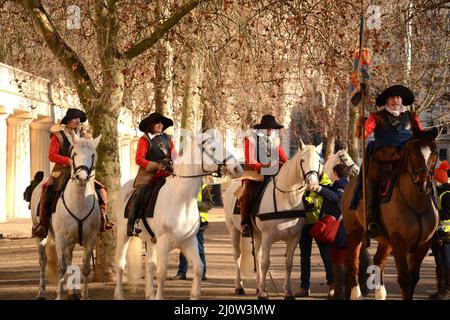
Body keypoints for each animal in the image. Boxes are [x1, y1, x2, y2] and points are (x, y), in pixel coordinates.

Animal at [30, 135, 102, 300]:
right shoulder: (61, 238)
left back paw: (72, 292)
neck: (79, 202)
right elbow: (61, 267)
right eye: (74, 154)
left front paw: (84, 295)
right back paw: (41, 292)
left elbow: (85, 267)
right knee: (43, 261)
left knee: (69, 260)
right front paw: (59, 295)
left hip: (71, 241)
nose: (82, 177)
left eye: (92, 155)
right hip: (41, 236)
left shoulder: (91, 238)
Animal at [114, 132, 244, 300]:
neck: (183, 201)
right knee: (120, 264)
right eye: (213, 148)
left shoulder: (189, 242)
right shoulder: (163, 242)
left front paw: (194, 293)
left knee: (149, 264)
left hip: (151, 240)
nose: (237, 168)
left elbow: (198, 268)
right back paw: (119, 294)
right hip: (123, 234)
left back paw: (149, 293)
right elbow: (161, 274)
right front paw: (159, 296)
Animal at [225, 140, 324, 300]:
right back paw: (239, 286)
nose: (313, 184)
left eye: (319, 161)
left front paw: (287, 292)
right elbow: (265, 263)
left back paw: (258, 286)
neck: (287, 199)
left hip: (257, 235)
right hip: (234, 230)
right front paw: (263, 293)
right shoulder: (268, 236)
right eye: (302, 160)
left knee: (257, 256)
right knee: (238, 256)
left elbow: (288, 263)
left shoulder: (294, 237)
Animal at [342, 127, 438, 300]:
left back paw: (380, 293)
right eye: (414, 152)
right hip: (354, 232)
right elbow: (405, 280)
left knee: (378, 261)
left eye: (434, 152)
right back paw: (356, 293)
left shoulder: (423, 244)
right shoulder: (399, 242)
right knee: (353, 263)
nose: (424, 183)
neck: (416, 202)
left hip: (385, 240)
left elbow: (414, 279)